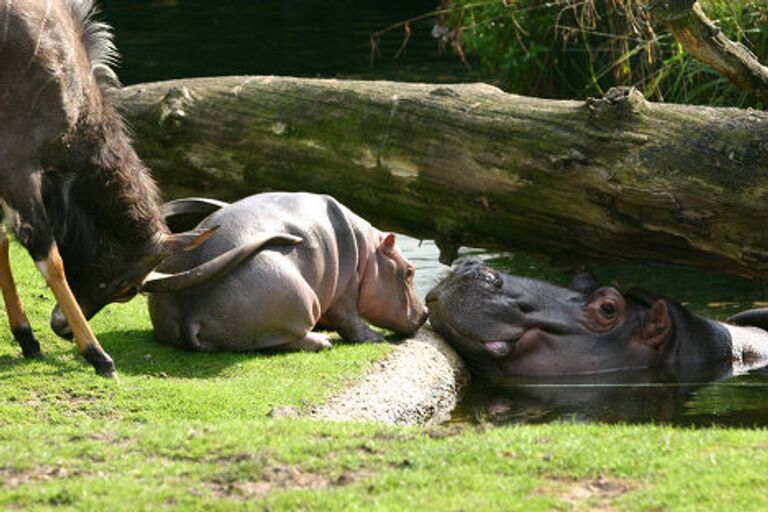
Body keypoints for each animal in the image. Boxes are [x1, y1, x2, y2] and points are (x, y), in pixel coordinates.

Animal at [144, 192, 426, 352]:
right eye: (410, 271)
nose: (425, 313)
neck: (368, 253)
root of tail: (186, 316)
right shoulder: (345, 292)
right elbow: (350, 320)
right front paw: (375, 338)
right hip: (300, 299)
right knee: (285, 340)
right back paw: (322, 342)